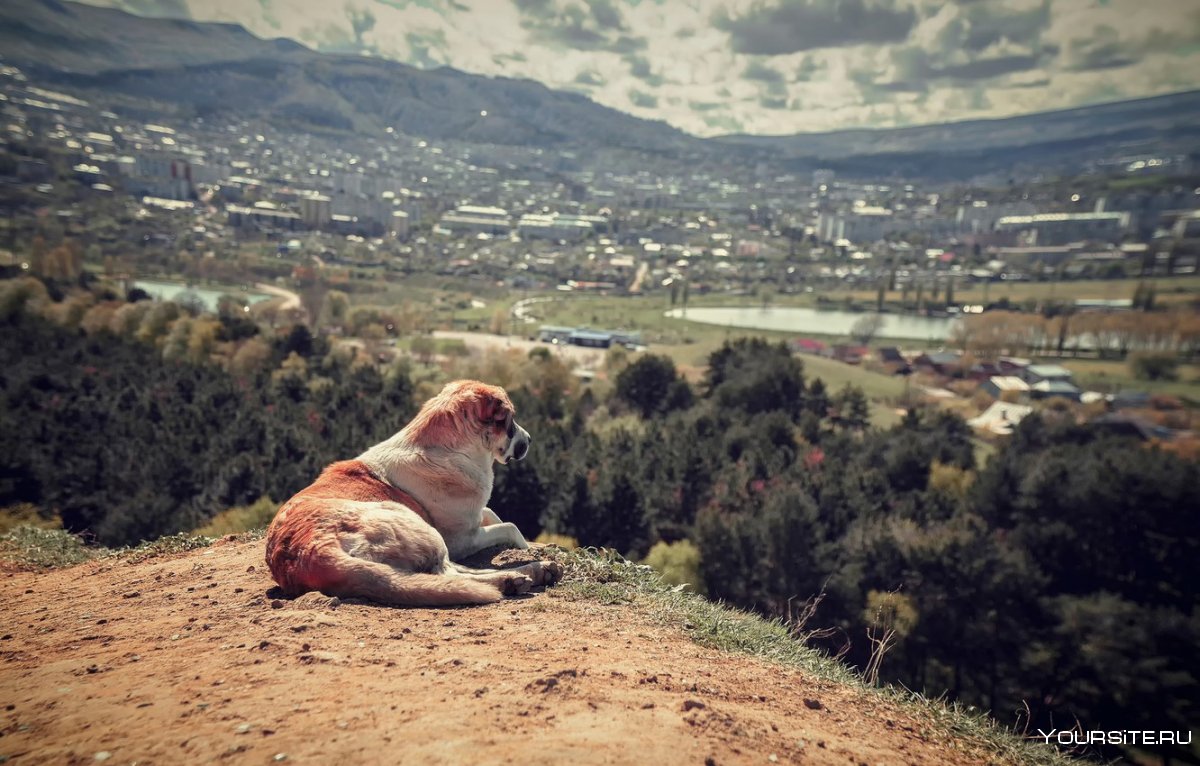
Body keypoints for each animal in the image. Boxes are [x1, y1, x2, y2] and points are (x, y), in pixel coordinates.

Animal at [265, 381, 559, 609]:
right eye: (510, 419)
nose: (530, 439)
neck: (447, 448)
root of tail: (312, 550)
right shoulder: (462, 540)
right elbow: (509, 526)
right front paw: (528, 547)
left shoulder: (474, 517)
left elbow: (492, 513)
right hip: (417, 525)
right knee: (450, 573)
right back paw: (520, 576)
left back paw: (537, 572)